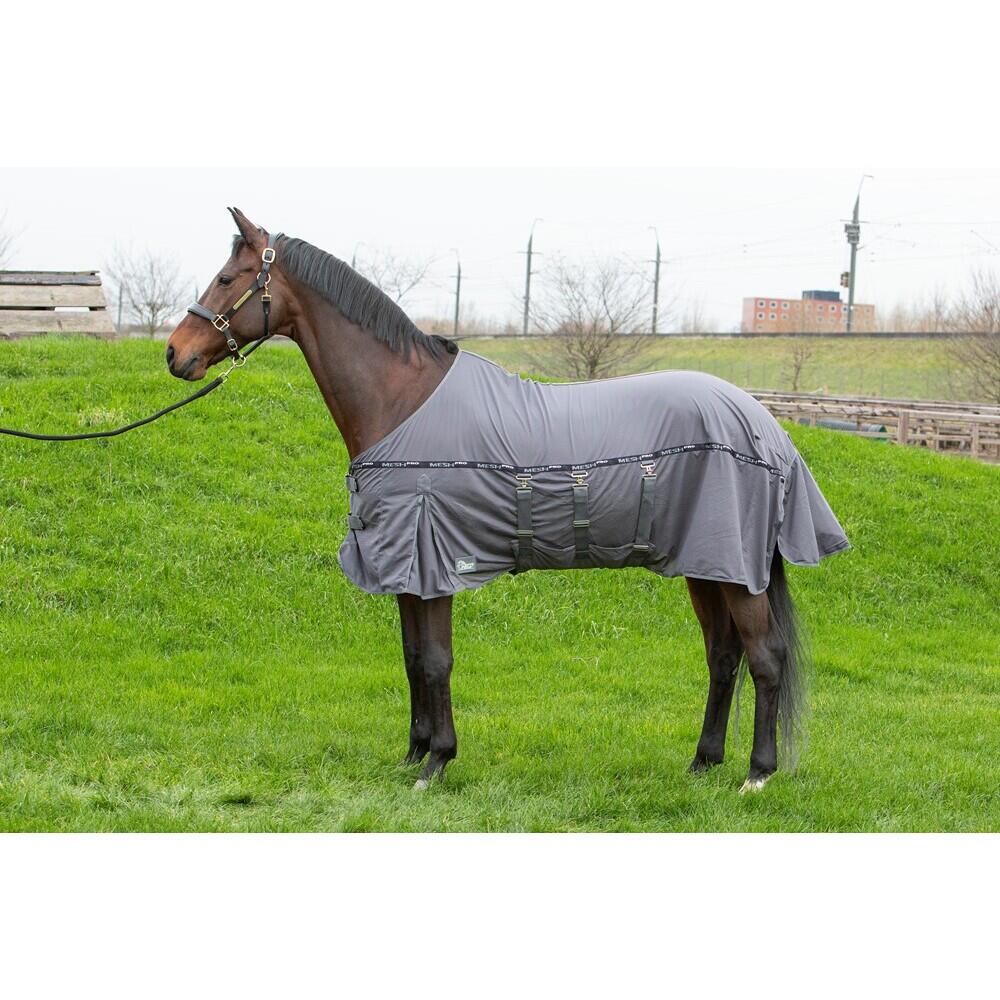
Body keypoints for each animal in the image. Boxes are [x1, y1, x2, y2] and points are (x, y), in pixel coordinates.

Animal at [166, 208, 849, 794]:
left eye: (227, 278)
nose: (176, 353)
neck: (402, 400)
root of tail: (764, 424)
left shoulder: (431, 560)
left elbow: (436, 661)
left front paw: (436, 763)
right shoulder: (407, 567)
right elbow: (412, 657)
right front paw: (413, 753)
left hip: (735, 569)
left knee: (765, 657)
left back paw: (757, 773)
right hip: (707, 565)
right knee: (723, 657)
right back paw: (703, 762)